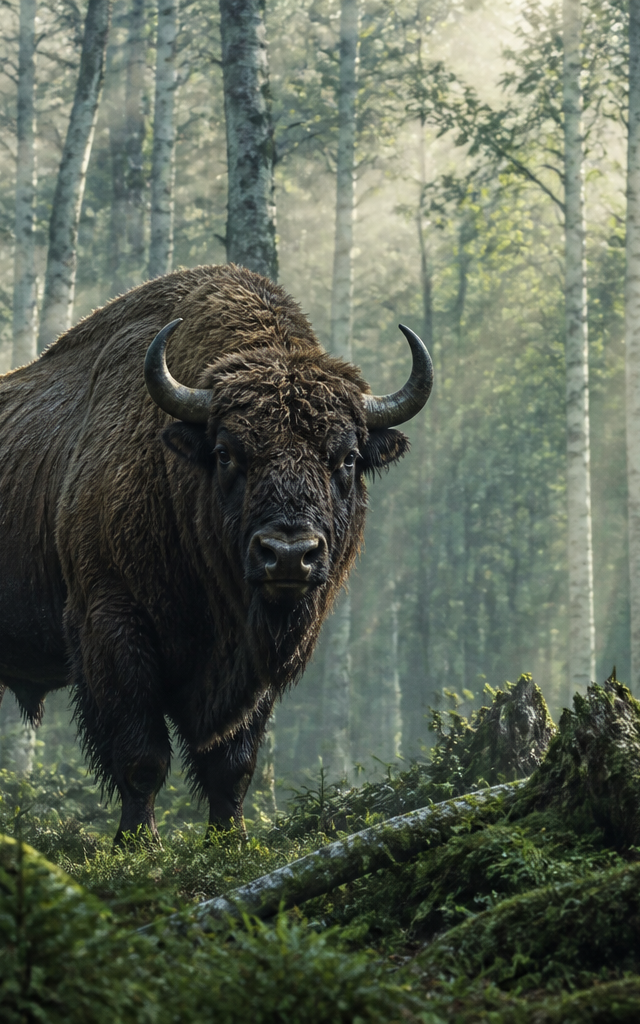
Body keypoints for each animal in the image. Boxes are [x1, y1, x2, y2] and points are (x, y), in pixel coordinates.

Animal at [0, 264, 432, 843]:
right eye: (227, 453)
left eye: (346, 458)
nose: (288, 555)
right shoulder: (112, 625)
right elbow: (142, 757)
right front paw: (138, 843)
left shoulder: (253, 663)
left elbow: (232, 763)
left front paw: (231, 840)